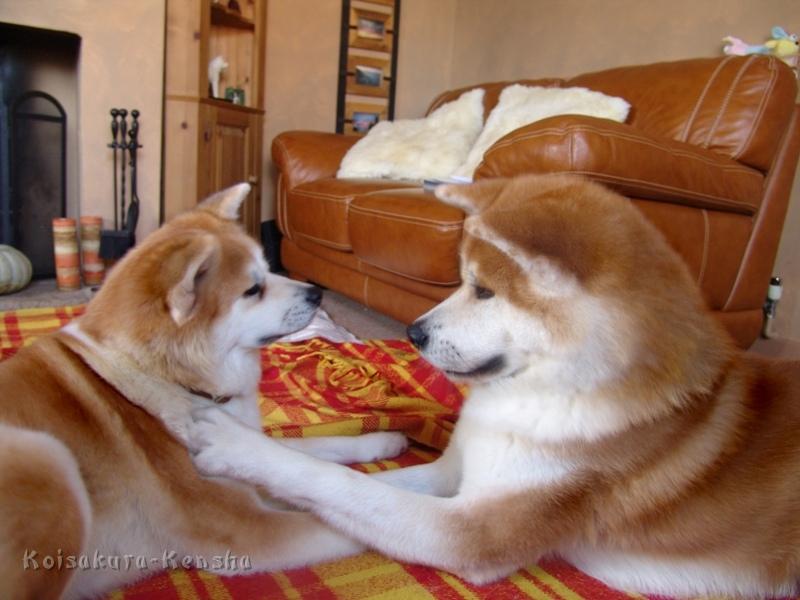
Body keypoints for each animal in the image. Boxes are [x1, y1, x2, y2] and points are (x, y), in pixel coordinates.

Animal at [0, 185, 410, 596]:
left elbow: (306, 451)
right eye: (253, 289)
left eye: (269, 267)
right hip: (48, 458)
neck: (167, 380)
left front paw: (383, 442)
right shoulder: (244, 530)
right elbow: (344, 510)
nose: (316, 294)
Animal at [186, 175, 800, 600]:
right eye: (462, 280)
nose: (412, 333)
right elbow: (356, 481)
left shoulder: (475, 531)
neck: (537, 398)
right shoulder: (454, 474)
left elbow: (340, 487)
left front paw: (237, 447)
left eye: (483, 291)